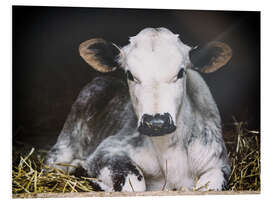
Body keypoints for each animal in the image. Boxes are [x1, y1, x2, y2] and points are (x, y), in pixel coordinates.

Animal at [46, 27, 232, 192]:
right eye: (130, 74)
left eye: (180, 73)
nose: (156, 122)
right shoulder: (107, 151)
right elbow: (135, 185)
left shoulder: (219, 163)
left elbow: (209, 187)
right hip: (66, 140)